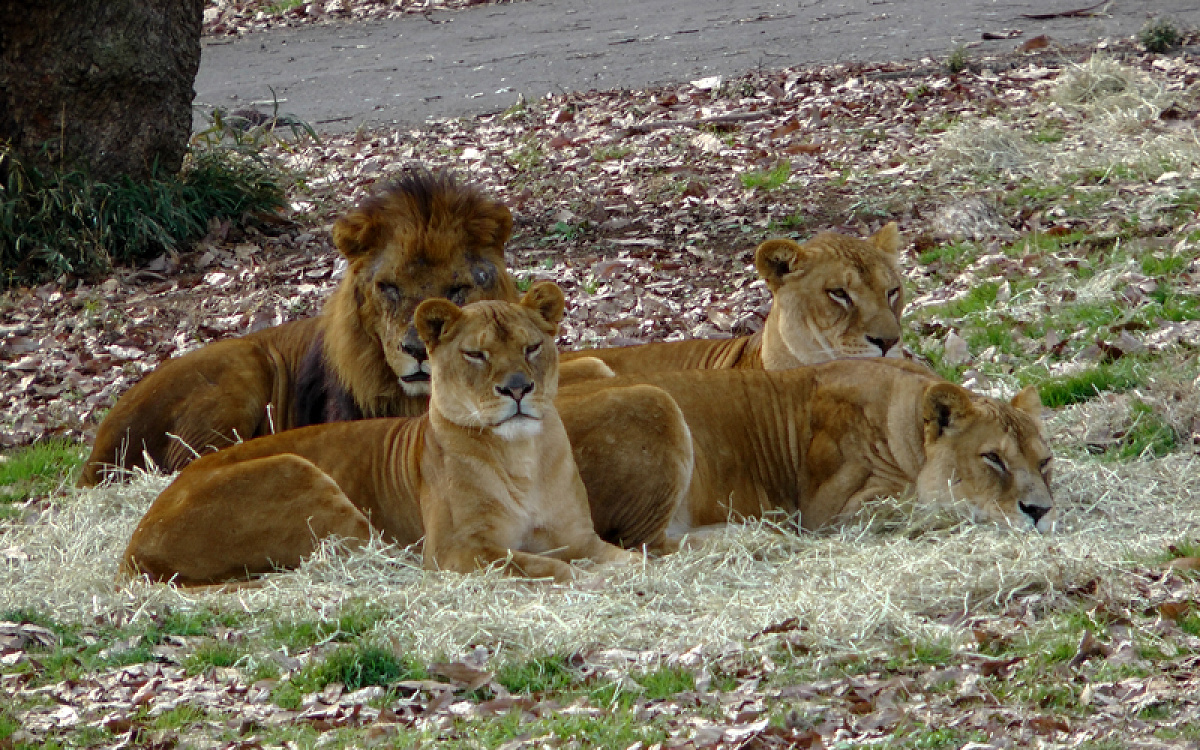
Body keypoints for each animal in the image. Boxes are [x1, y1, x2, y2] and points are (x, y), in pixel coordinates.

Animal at [125, 283, 643, 583]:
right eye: (476, 354)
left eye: (532, 347)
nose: (517, 388)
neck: (522, 457)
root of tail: (135, 544)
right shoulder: (455, 549)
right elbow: (546, 565)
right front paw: (588, 580)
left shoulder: (579, 536)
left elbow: (626, 559)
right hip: (308, 482)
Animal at [556, 357, 1056, 537]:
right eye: (992, 458)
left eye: (1045, 461)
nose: (1040, 511)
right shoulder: (834, 511)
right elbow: (926, 503)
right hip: (654, 400)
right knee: (645, 547)